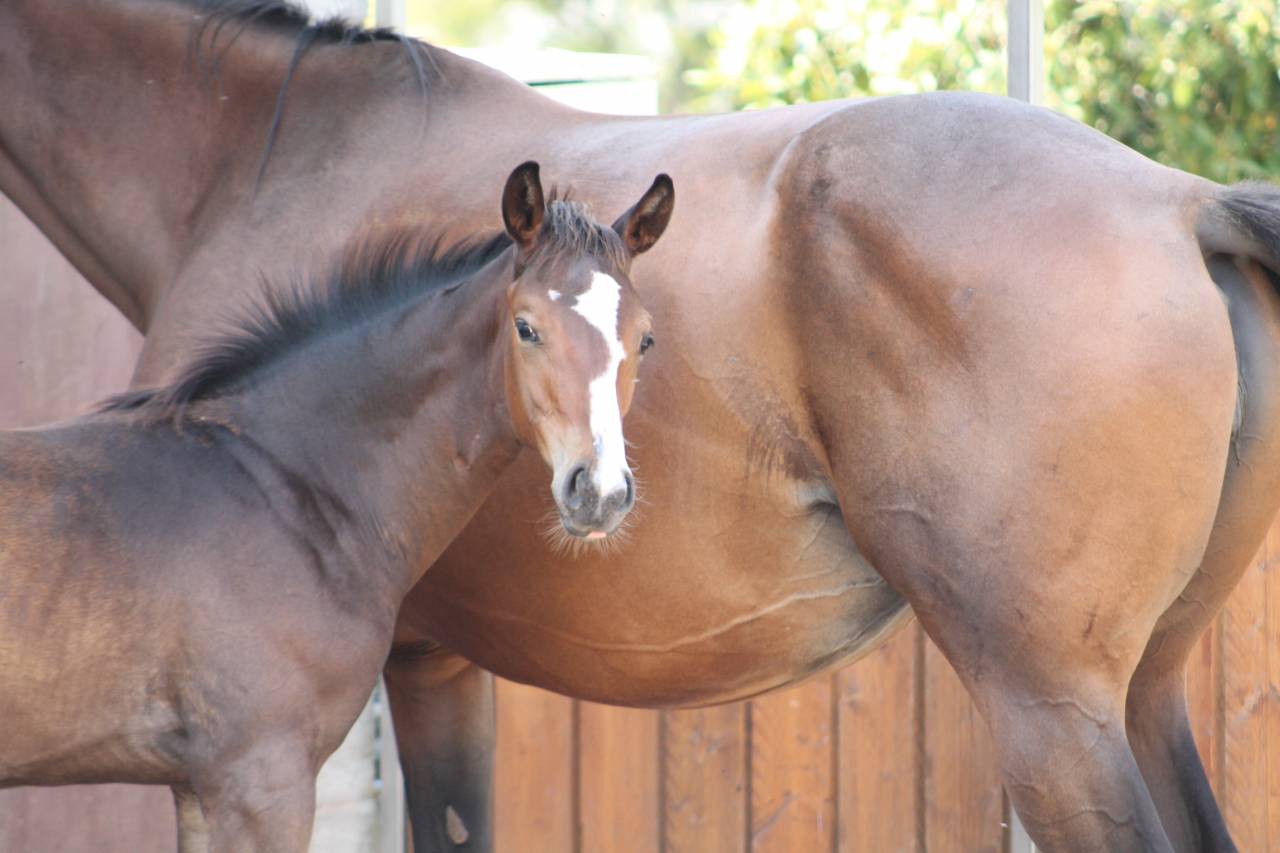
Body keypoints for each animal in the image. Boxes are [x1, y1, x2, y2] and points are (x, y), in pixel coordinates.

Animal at [0, 160, 673, 852]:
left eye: (644, 340)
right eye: (527, 327)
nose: (600, 492)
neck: (286, 486)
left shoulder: (197, 787)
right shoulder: (261, 777)